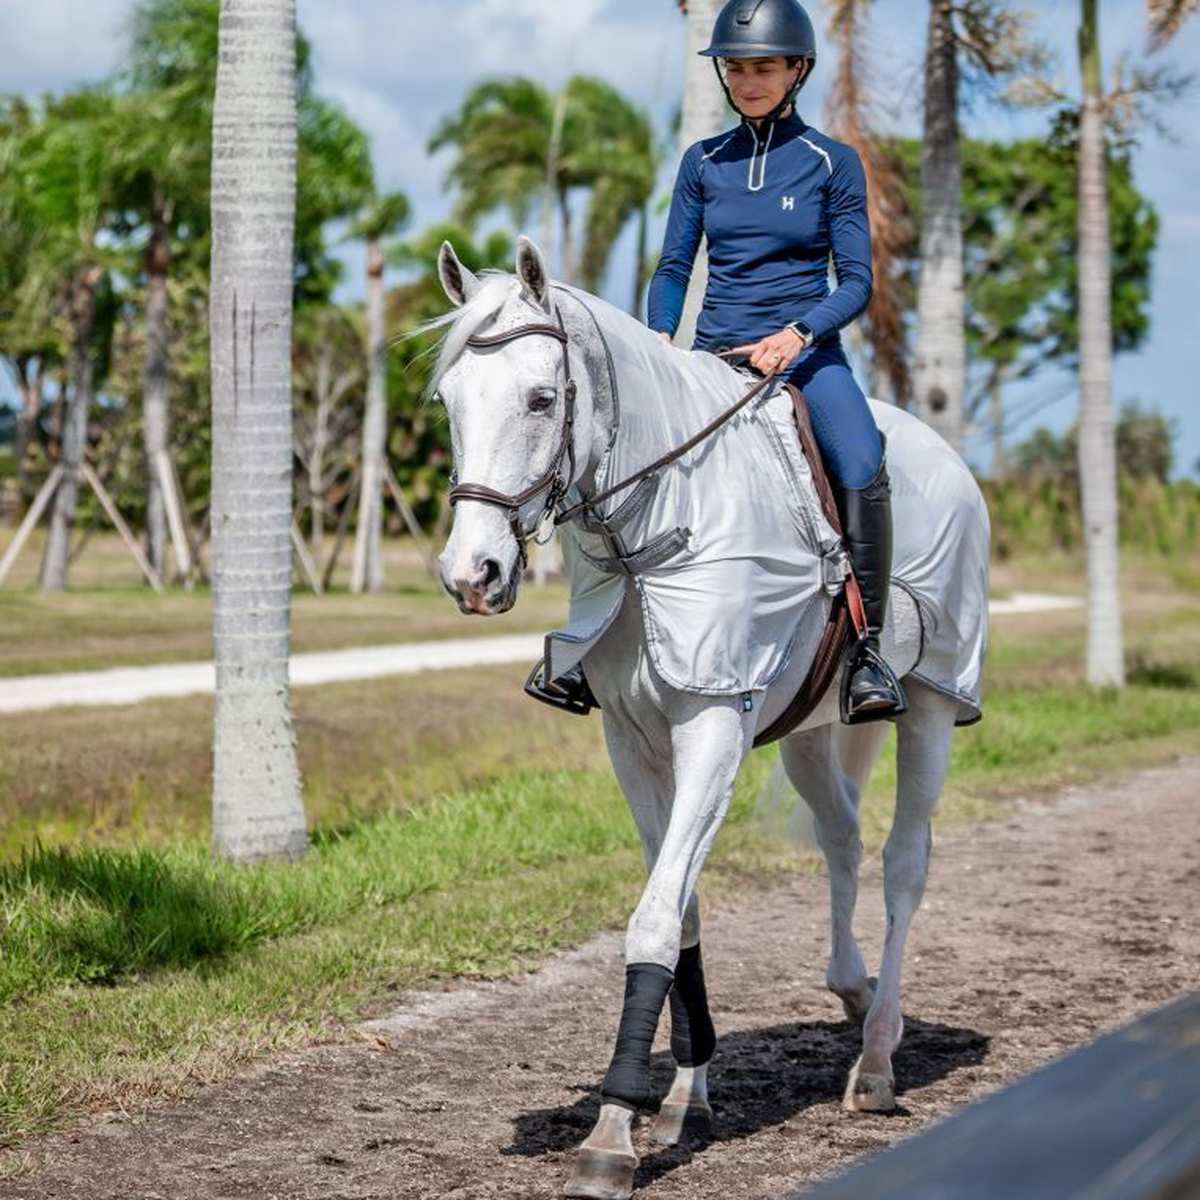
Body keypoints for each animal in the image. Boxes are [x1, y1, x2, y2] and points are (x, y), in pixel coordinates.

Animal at [430, 236, 989, 1200]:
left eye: (541, 398)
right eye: (449, 401)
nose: (473, 575)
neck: (664, 527)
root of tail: (948, 459)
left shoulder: (715, 725)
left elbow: (656, 916)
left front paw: (613, 1131)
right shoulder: (632, 739)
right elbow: (681, 910)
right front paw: (685, 1096)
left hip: (932, 706)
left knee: (903, 864)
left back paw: (877, 1060)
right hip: (811, 733)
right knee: (841, 837)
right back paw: (848, 988)